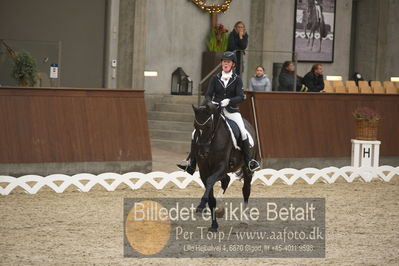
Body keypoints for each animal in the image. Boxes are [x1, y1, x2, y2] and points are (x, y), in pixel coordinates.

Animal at [192, 103, 258, 232]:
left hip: (246, 169)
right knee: (226, 180)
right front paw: (213, 225)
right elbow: (210, 194)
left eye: (208, 126)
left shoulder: (221, 166)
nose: (202, 153)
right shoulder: (204, 170)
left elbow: (210, 181)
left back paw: (244, 220)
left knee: (246, 190)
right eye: (195, 125)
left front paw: (201, 206)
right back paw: (220, 208)